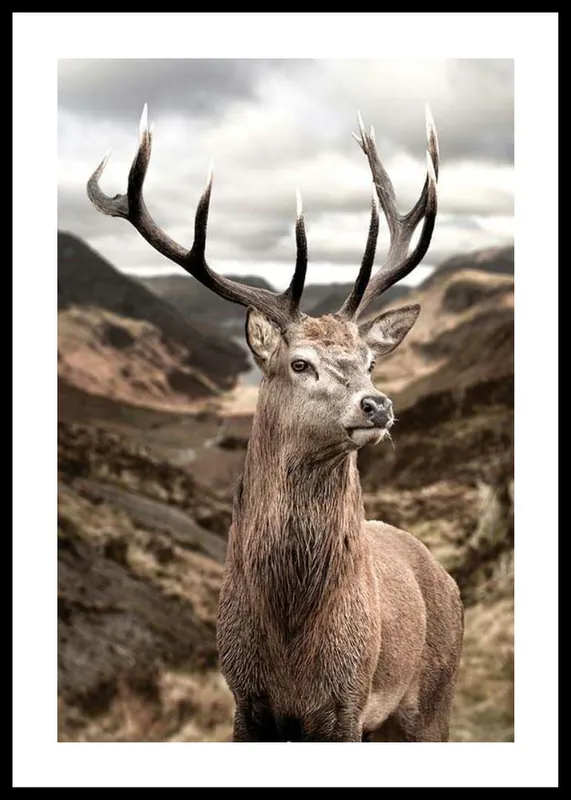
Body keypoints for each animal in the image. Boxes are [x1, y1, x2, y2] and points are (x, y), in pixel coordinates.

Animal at [87, 103, 464, 742]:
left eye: (368, 361)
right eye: (299, 363)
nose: (378, 405)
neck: (290, 645)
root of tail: (445, 575)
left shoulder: (347, 703)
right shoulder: (244, 697)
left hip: (432, 702)